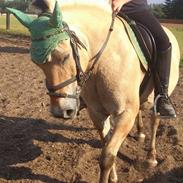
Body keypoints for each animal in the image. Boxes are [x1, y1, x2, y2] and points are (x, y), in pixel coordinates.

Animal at [7, 0, 180, 182]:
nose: (60, 111)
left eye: (65, 56)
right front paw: (113, 176)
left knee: (155, 121)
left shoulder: (124, 114)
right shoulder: (97, 113)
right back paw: (140, 134)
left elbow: (107, 157)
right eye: (36, 63)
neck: (105, 59)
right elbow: (106, 145)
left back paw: (151, 158)